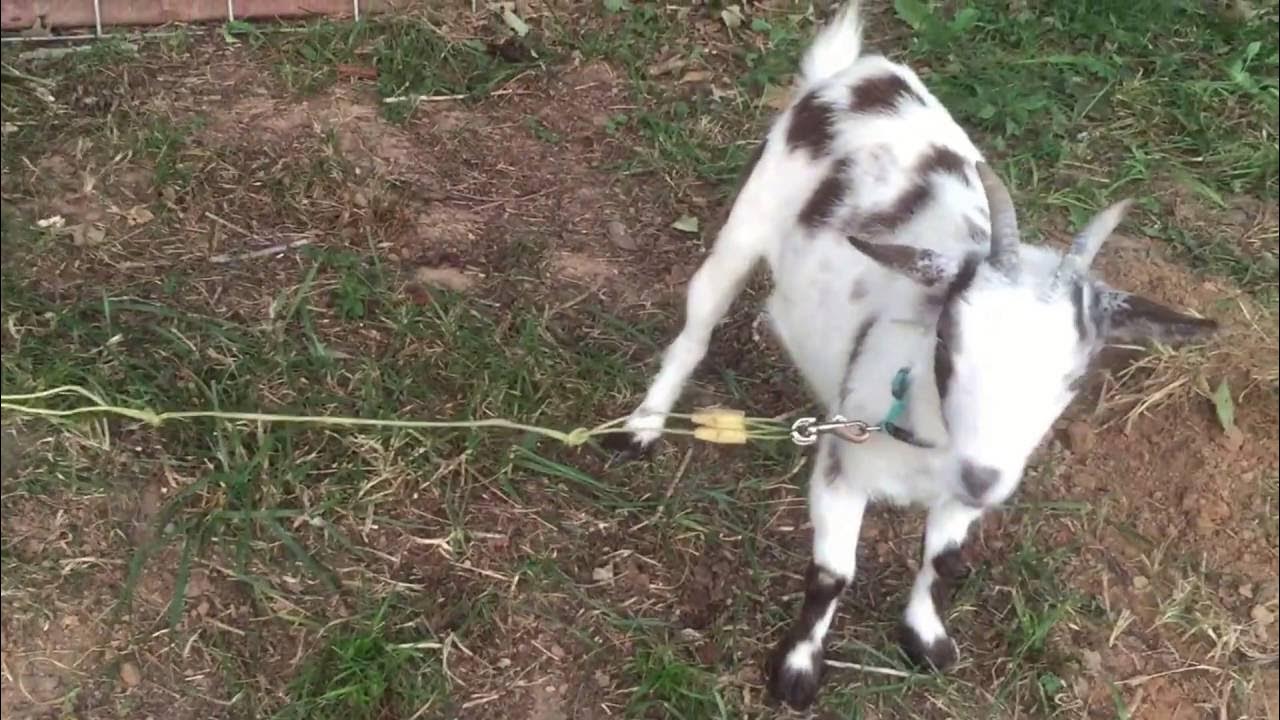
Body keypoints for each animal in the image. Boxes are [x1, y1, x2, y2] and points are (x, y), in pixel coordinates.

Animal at [603, 0, 1219, 710]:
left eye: (1072, 378)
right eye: (948, 343)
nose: (981, 479)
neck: (926, 443)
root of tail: (858, 74)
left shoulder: (964, 488)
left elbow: (943, 561)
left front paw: (925, 639)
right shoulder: (843, 471)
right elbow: (832, 574)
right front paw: (796, 671)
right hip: (746, 224)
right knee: (697, 327)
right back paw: (643, 426)